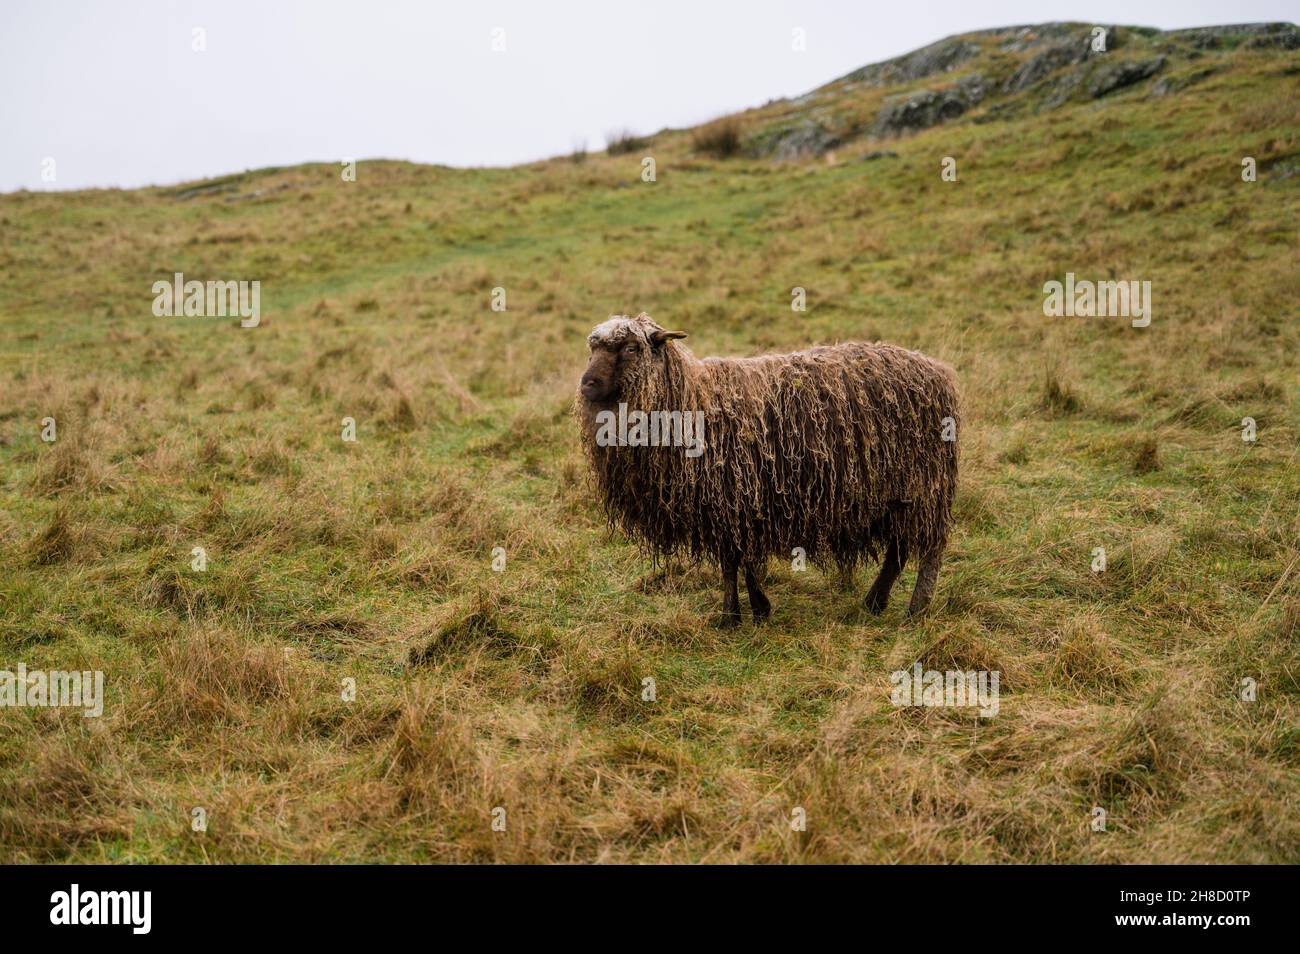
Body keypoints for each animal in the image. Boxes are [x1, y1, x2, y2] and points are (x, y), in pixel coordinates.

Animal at [576, 313, 960, 626]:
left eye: (630, 348)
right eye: (592, 349)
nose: (587, 384)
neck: (690, 400)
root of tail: (939, 371)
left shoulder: (736, 500)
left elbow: (734, 561)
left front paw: (737, 614)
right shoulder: (734, 506)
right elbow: (735, 562)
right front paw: (749, 611)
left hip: (925, 485)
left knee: (929, 549)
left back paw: (917, 608)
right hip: (897, 494)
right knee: (899, 550)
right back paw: (874, 602)